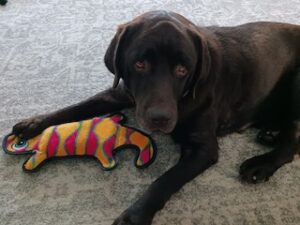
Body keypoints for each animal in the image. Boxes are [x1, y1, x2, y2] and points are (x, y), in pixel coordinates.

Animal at [11, 11, 300, 225]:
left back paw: (262, 163)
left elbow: (163, 181)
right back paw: (270, 132)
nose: (160, 118)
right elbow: (78, 106)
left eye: (182, 69)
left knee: (292, 142)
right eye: (140, 64)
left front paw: (133, 216)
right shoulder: (120, 92)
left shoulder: (203, 149)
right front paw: (34, 123)